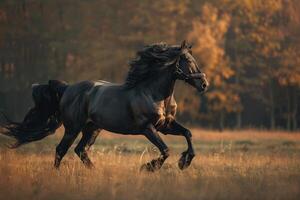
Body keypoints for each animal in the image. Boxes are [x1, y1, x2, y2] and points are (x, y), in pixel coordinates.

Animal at [0, 40, 209, 170]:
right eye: (188, 60)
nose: (204, 84)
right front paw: (148, 167)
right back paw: (57, 175)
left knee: (80, 150)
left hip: (92, 129)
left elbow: (188, 133)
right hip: (73, 128)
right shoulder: (147, 128)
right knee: (61, 150)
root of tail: (68, 88)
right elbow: (165, 150)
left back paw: (94, 172)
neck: (153, 94)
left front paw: (185, 162)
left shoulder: (165, 125)